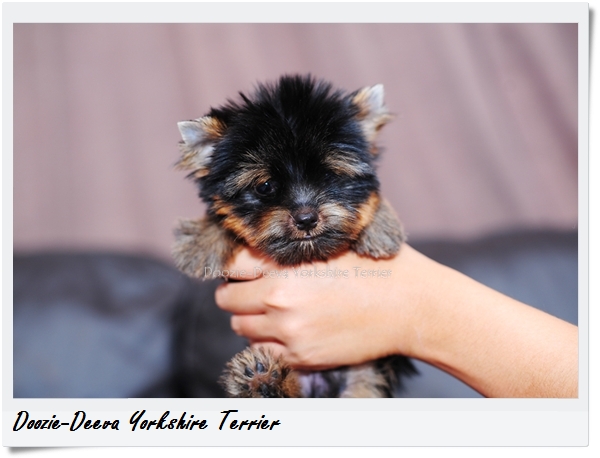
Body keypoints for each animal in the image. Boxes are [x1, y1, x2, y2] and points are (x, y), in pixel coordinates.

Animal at [173, 75, 416, 397]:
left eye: (330, 177)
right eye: (265, 186)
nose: (306, 217)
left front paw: (381, 226)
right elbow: (220, 215)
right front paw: (200, 243)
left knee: (364, 387)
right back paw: (263, 379)